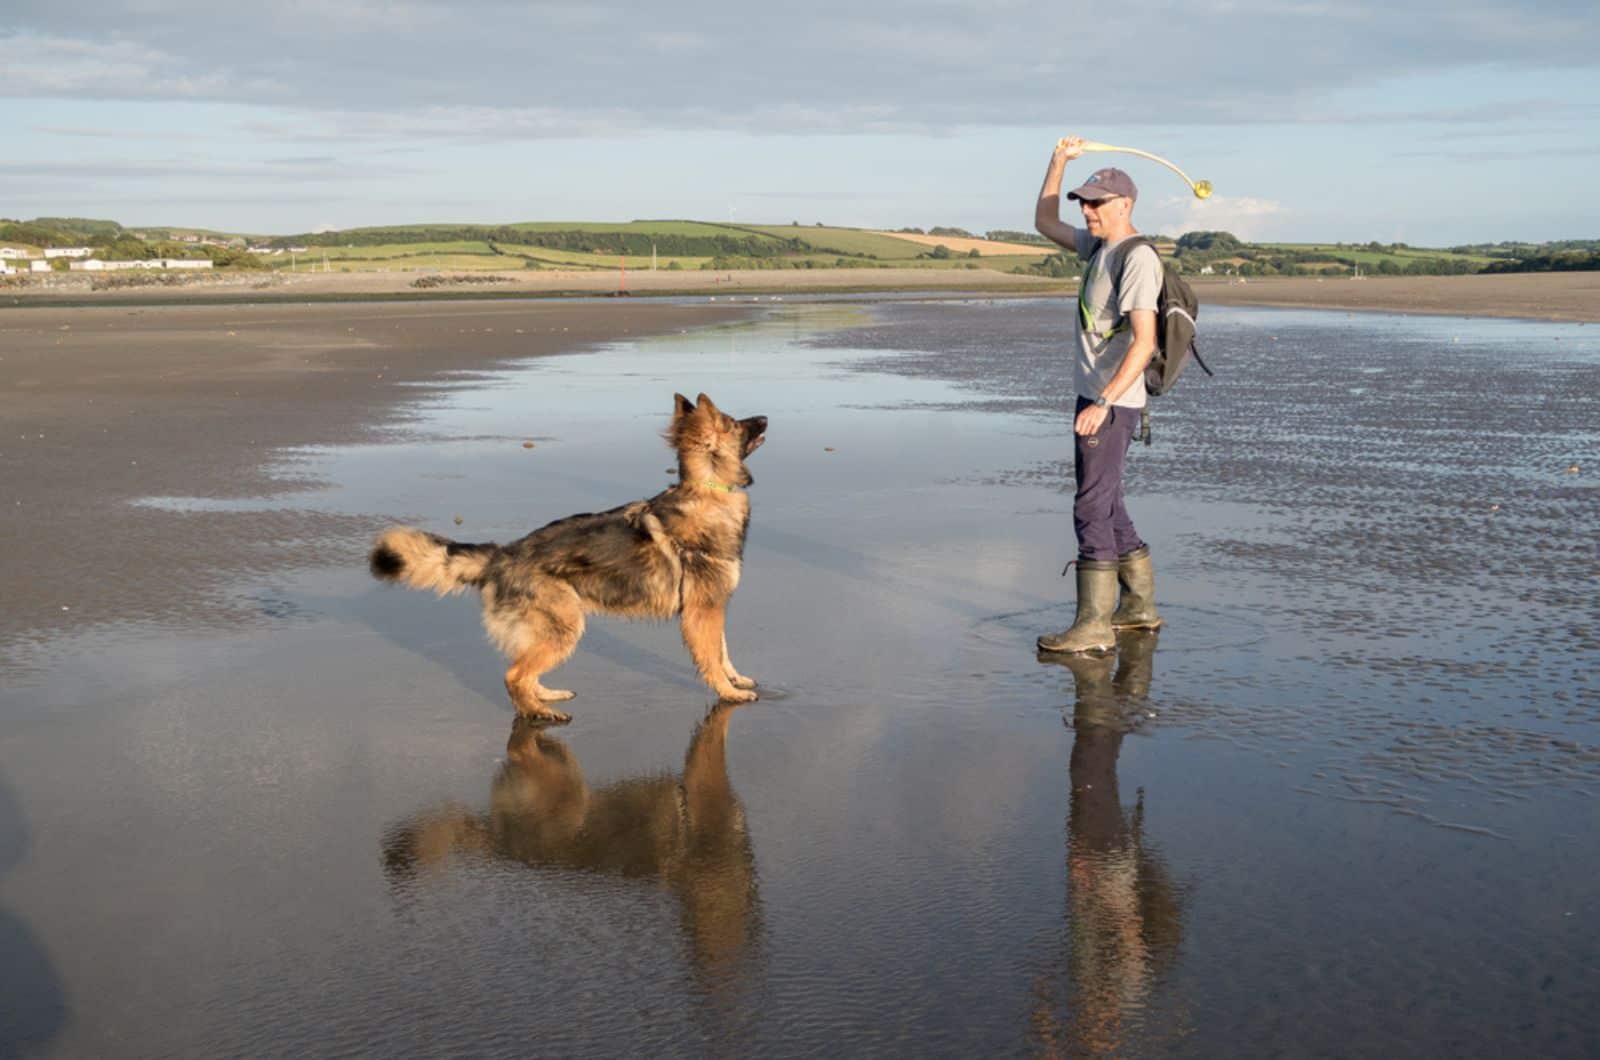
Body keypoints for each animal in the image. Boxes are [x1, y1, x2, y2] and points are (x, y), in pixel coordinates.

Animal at [376, 393, 774, 726]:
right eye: (735, 423)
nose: (766, 417)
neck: (709, 491)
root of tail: (502, 554)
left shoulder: (712, 606)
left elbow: (722, 650)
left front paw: (736, 679)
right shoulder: (701, 611)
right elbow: (711, 657)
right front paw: (728, 692)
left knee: (524, 670)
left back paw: (545, 696)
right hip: (564, 627)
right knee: (513, 675)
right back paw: (538, 713)